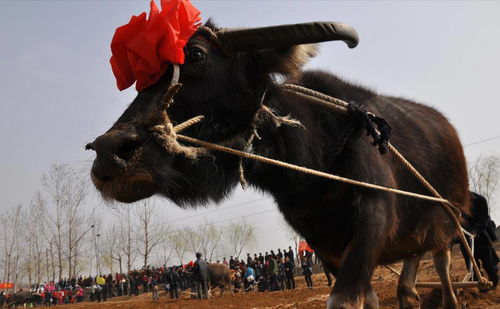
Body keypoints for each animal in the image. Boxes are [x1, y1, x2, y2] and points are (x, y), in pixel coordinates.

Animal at [87, 20, 472, 306]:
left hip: (448, 220)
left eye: (196, 54)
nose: (109, 151)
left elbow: (344, 299)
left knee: (442, 261)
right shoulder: (324, 243)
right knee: (410, 273)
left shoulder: (373, 218)